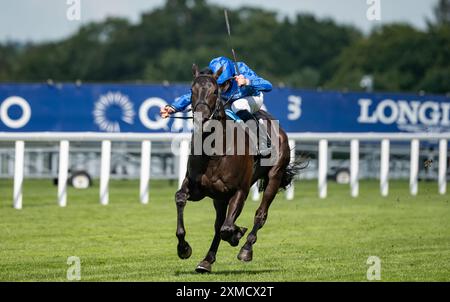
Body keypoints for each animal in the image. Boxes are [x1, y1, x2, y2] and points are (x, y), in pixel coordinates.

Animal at [174, 64, 298, 274]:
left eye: (215, 91)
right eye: (191, 90)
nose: (200, 119)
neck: (214, 151)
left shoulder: (240, 190)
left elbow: (227, 228)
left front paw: (237, 234)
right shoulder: (197, 188)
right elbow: (181, 198)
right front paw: (183, 248)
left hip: (274, 176)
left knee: (260, 214)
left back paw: (246, 248)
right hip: (219, 197)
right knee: (219, 223)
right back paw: (206, 260)